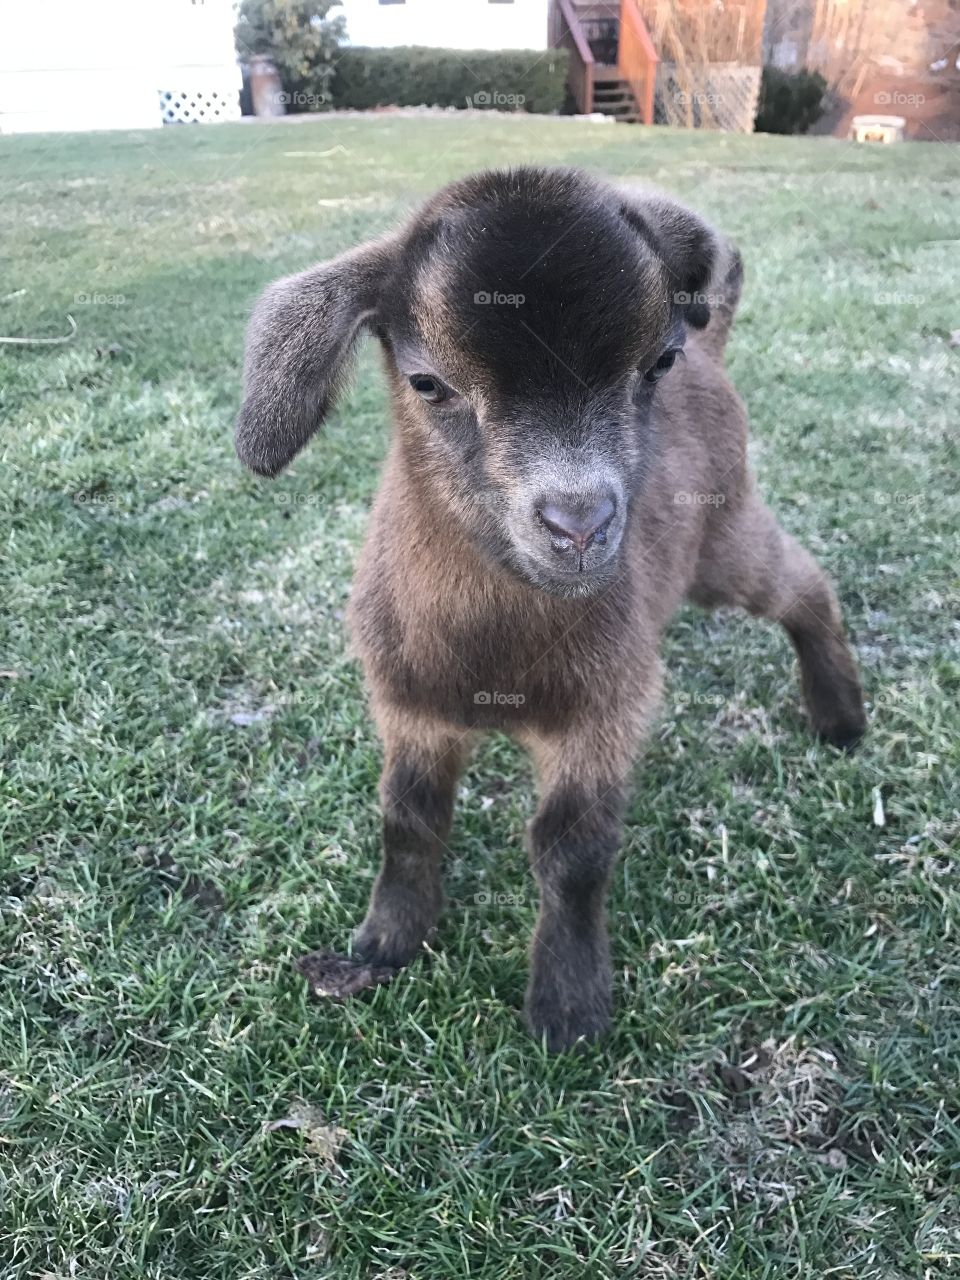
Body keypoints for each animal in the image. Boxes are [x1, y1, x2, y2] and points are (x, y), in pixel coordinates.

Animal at [236, 167, 866, 1051]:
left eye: (654, 363)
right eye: (429, 383)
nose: (579, 525)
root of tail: (714, 348)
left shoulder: (604, 713)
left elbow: (573, 851)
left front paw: (568, 1006)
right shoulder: (408, 706)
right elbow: (408, 817)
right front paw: (386, 941)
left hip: (723, 539)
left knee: (804, 585)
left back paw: (841, 715)